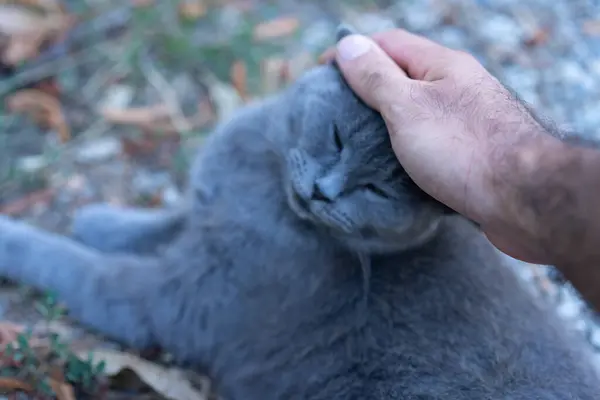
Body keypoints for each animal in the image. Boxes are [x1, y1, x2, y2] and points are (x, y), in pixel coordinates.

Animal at [1, 26, 600, 398]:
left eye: (377, 190)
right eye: (336, 135)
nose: (323, 191)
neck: (261, 186)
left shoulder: (175, 298)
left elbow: (74, 266)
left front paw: (16, 237)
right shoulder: (205, 219)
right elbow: (167, 221)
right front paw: (99, 219)